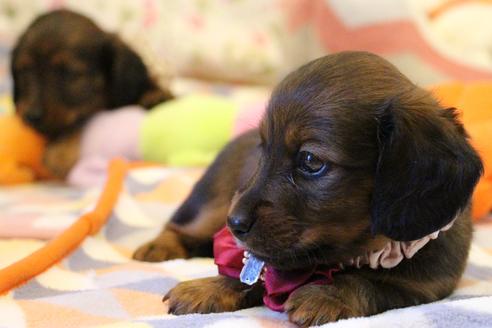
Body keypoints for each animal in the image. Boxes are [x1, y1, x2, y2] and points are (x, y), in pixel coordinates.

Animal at [133, 51, 482, 326]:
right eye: (263, 149)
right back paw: (158, 248)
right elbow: (253, 271)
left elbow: (371, 282)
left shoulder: (424, 285)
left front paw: (328, 293)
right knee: (181, 226)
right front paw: (208, 287)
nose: (234, 224)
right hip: (215, 205)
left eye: (311, 161)